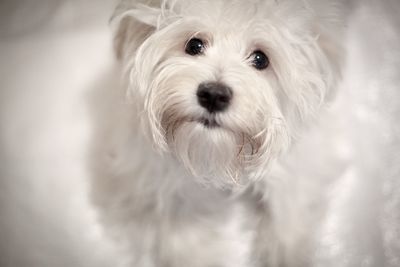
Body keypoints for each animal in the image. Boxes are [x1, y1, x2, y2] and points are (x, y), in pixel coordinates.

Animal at [90, 0, 346, 266]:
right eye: (194, 45)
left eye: (260, 59)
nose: (213, 95)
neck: (214, 153)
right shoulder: (152, 177)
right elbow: (180, 224)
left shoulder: (301, 161)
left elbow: (289, 205)